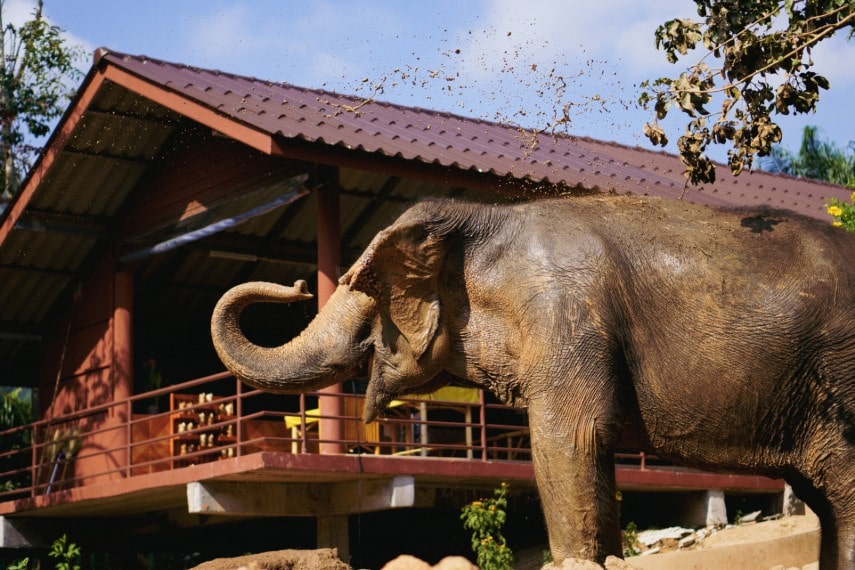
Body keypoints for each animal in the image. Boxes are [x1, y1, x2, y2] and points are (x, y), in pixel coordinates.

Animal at [211, 195, 855, 569]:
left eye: (363, 289)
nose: (296, 284)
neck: (494, 216)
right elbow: (586, 449)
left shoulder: (566, 314)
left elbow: (570, 439)